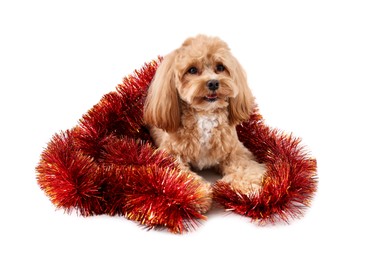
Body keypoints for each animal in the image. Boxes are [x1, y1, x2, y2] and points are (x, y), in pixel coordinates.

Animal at [143, 34, 266, 213]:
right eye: (192, 70)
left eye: (220, 67)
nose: (213, 83)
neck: (205, 115)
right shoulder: (170, 154)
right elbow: (179, 173)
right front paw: (196, 193)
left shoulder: (235, 151)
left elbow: (246, 167)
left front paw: (249, 187)